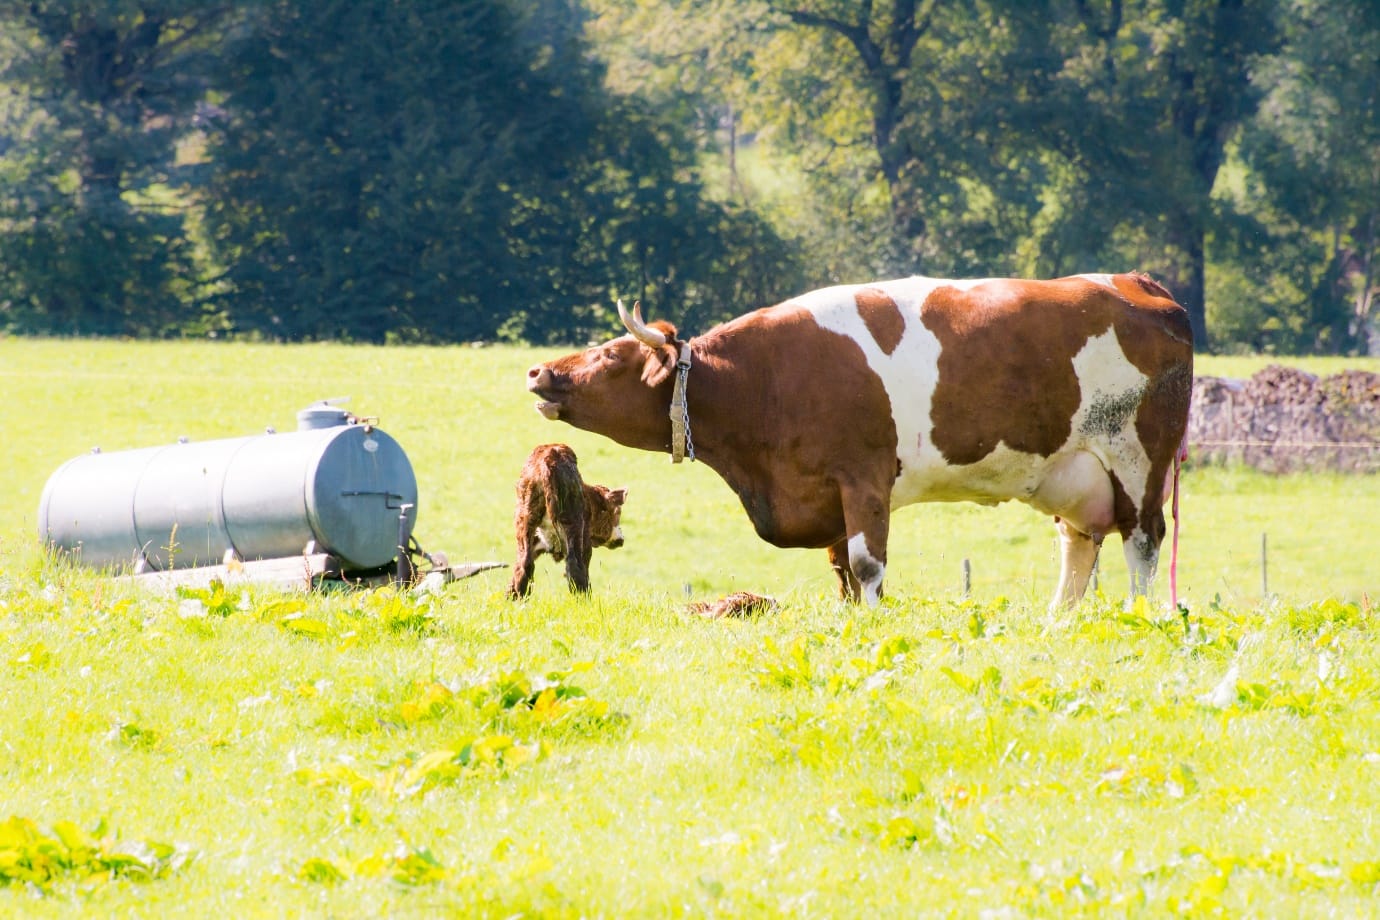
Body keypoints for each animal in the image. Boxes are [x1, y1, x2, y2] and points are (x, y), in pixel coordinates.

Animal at [510, 444, 629, 601]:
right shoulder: (586, 544)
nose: (621, 539)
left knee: (524, 564)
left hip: (525, 519)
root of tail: (547, 459)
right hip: (572, 523)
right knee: (574, 565)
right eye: (617, 513)